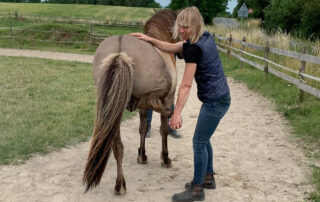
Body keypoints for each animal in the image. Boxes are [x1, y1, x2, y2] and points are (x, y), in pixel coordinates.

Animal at [82, 9, 179, 194]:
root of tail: (120, 49)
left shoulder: (142, 107)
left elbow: (143, 128)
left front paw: (142, 155)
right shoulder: (168, 98)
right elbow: (163, 130)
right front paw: (165, 158)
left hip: (112, 110)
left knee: (117, 146)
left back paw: (119, 184)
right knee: (156, 103)